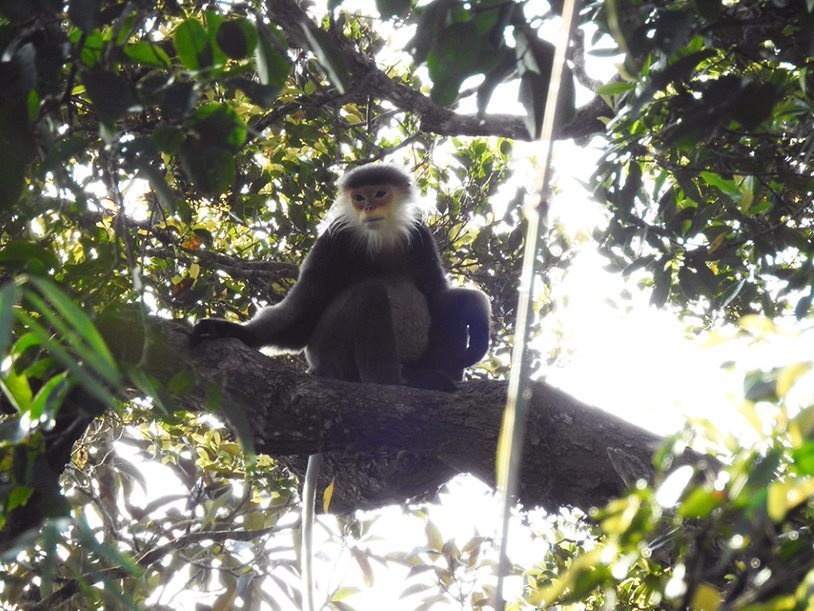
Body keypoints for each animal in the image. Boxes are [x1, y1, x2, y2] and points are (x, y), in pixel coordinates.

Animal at [191, 164, 490, 611]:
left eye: (379, 194)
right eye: (359, 197)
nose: (368, 208)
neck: (379, 240)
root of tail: (320, 371)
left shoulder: (419, 237)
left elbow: (441, 296)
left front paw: (475, 309)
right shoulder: (334, 241)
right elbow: (301, 316)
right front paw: (235, 332)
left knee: (443, 309)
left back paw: (436, 379)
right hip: (334, 355)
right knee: (369, 293)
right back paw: (392, 386)